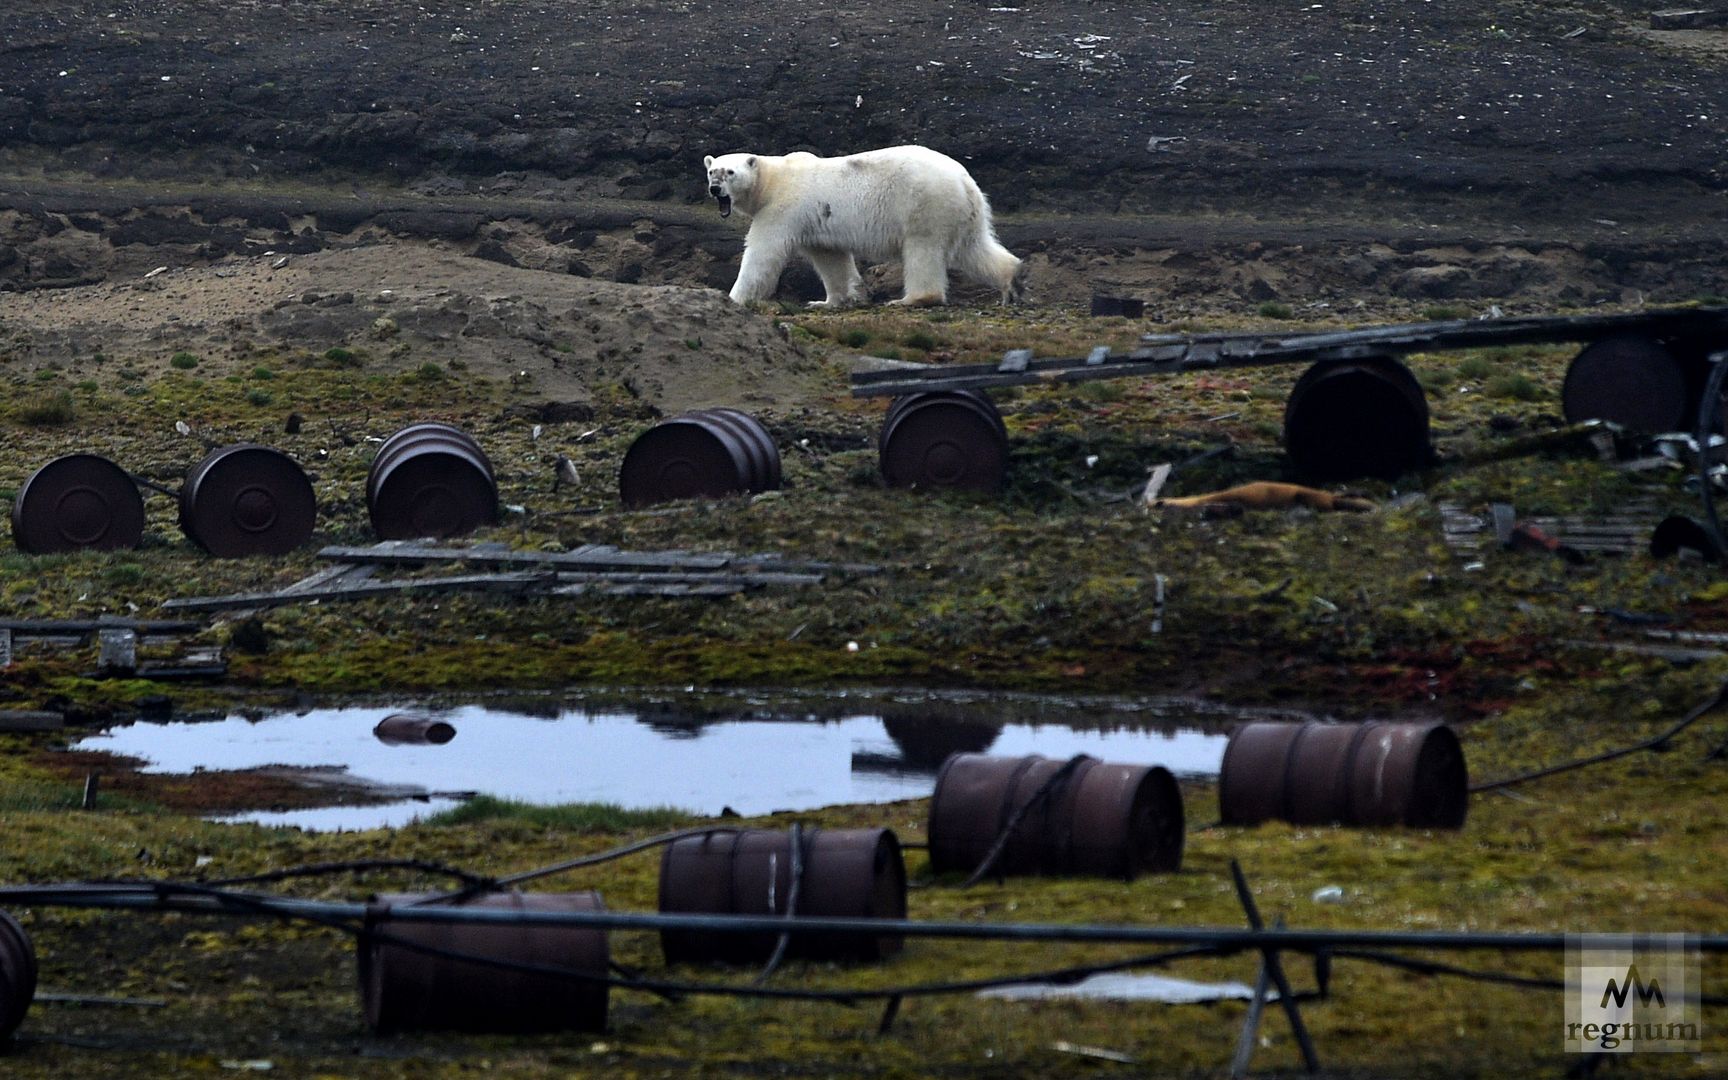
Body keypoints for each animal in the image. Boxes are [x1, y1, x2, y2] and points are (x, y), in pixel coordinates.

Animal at [701, 145, 1022, 305]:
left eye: (730, 172)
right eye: (711, 170)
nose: (715, 189)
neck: (773, 180)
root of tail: (964, 180)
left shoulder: (782, 208)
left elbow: (763, 253)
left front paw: (734, 297)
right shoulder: (815, 220)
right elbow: (830, 258)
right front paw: (832, 301)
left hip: (925, 203)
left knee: (923, 250)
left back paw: (912, 299)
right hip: (963, 212)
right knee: (974, 248)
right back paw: (1012, 280)